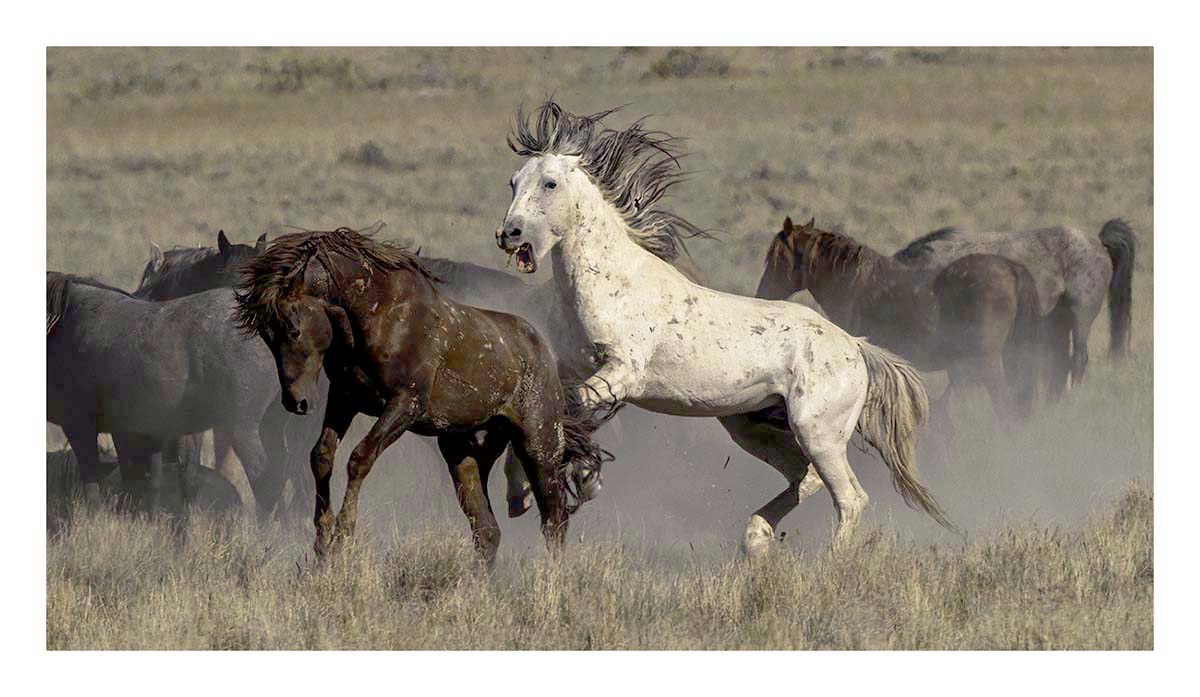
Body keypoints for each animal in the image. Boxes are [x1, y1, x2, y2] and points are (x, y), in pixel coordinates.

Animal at [47, 273, 291, 513]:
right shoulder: (126, 430)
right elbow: (136, 480)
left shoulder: (79, 425)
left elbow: (94, 484)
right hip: (270, 422)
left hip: (241, 426)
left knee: (265, 478)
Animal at [234, 227, 615, 565]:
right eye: (266, 335)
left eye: (293, 330)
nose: (296, 402)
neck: (380, 314)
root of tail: (544, 352)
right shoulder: (345, 399)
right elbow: (321, 456)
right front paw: (322, 538)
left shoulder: (405, 406)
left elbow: (359, 458)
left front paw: (343, 534)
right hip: (463, 453)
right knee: (487, 530)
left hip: (538, 447)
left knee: (554, 520)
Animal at [495, 100, 954, 555]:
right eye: (514, 182)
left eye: (550, 183)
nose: (508, 233)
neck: (609, 282)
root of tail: (856, 347)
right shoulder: (572, 369)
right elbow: (548, 411)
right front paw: (523, 491)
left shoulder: (621, 374)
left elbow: (566, 410)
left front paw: (580, 479)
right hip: (752, 427)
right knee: (803, 478)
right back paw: (757, 537)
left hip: (817, 432)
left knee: (850, 498)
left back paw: (828, 559)